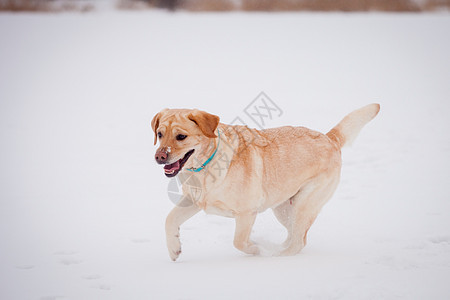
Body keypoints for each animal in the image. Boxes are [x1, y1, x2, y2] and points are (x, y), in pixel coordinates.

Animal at [151, 105, 380, 260]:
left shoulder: (246, 213)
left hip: (304, 204)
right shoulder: (194, 200)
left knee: (298, 242)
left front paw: (257, 249)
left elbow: (239, 242)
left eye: (181, 136)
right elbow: (169, 219)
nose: (159, 157)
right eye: (160, 134)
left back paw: (276, 256)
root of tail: (329, 137)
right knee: (295, 236)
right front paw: (174, 249)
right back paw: (279, 248)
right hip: (283, 208)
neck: (206, 166)